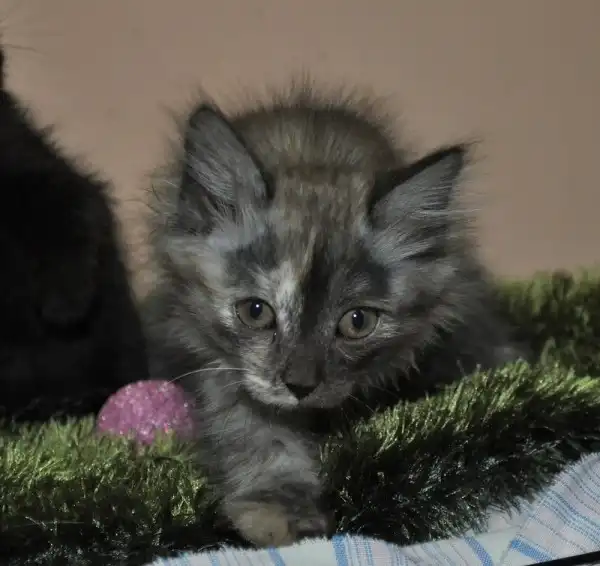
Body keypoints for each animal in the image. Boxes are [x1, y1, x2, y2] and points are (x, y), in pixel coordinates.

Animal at [144, 84, 527, 547]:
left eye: (357, 322)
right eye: (255, 311)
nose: (300, 386)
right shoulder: (218, 363)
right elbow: (254, 431)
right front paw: (280, 507)